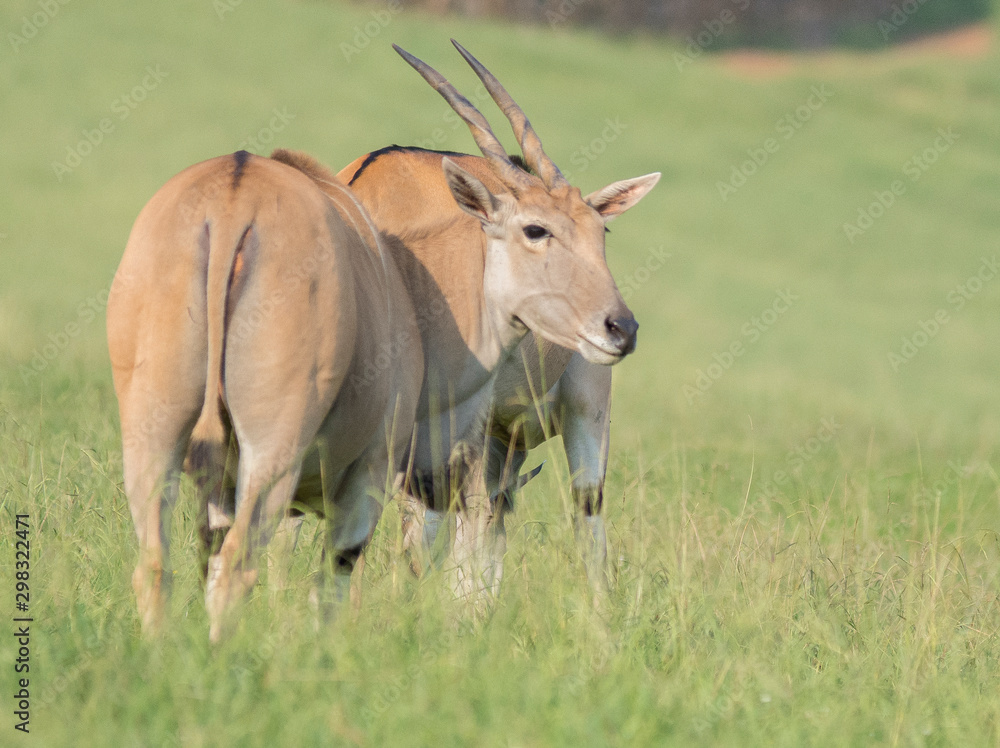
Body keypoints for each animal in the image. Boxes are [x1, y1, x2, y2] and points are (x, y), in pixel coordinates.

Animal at [107, 149, 420, 640]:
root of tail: (237, 187)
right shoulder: (372, 470)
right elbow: (332, 582)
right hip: (274, 452)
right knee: (237, 568)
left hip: (152, 438)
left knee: (157, 566)